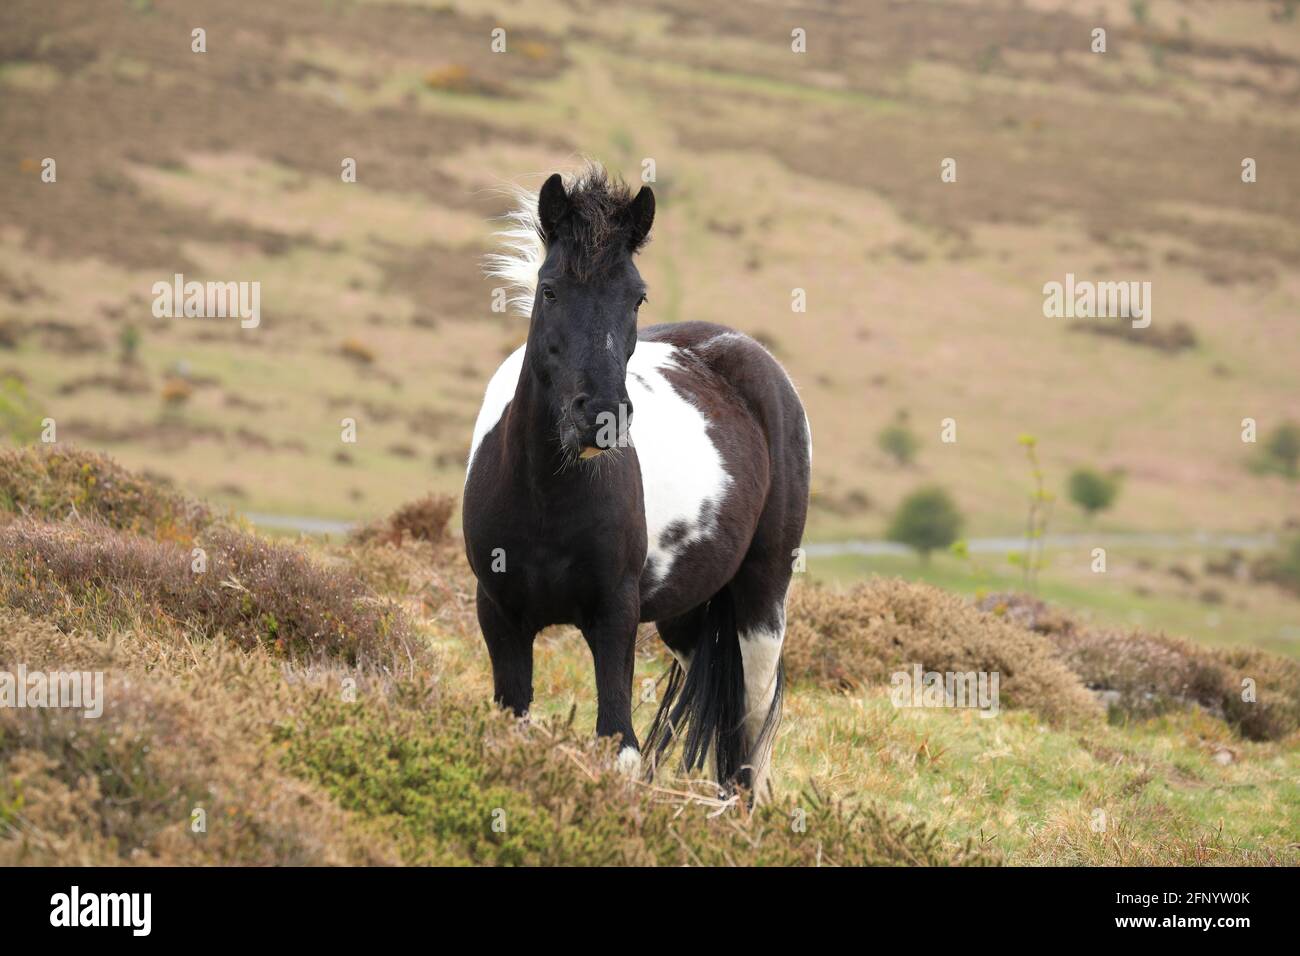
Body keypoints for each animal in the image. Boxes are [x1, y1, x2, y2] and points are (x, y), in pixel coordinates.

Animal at [462, 162, 811, 798]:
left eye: (636, 296)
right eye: (550, 289)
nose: (600, 415)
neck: (548, 497)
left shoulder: (614, 616)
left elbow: (616, 743)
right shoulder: (499, 614)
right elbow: (514, 722)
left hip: (763, 600)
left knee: (753, 730)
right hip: (685, 615)